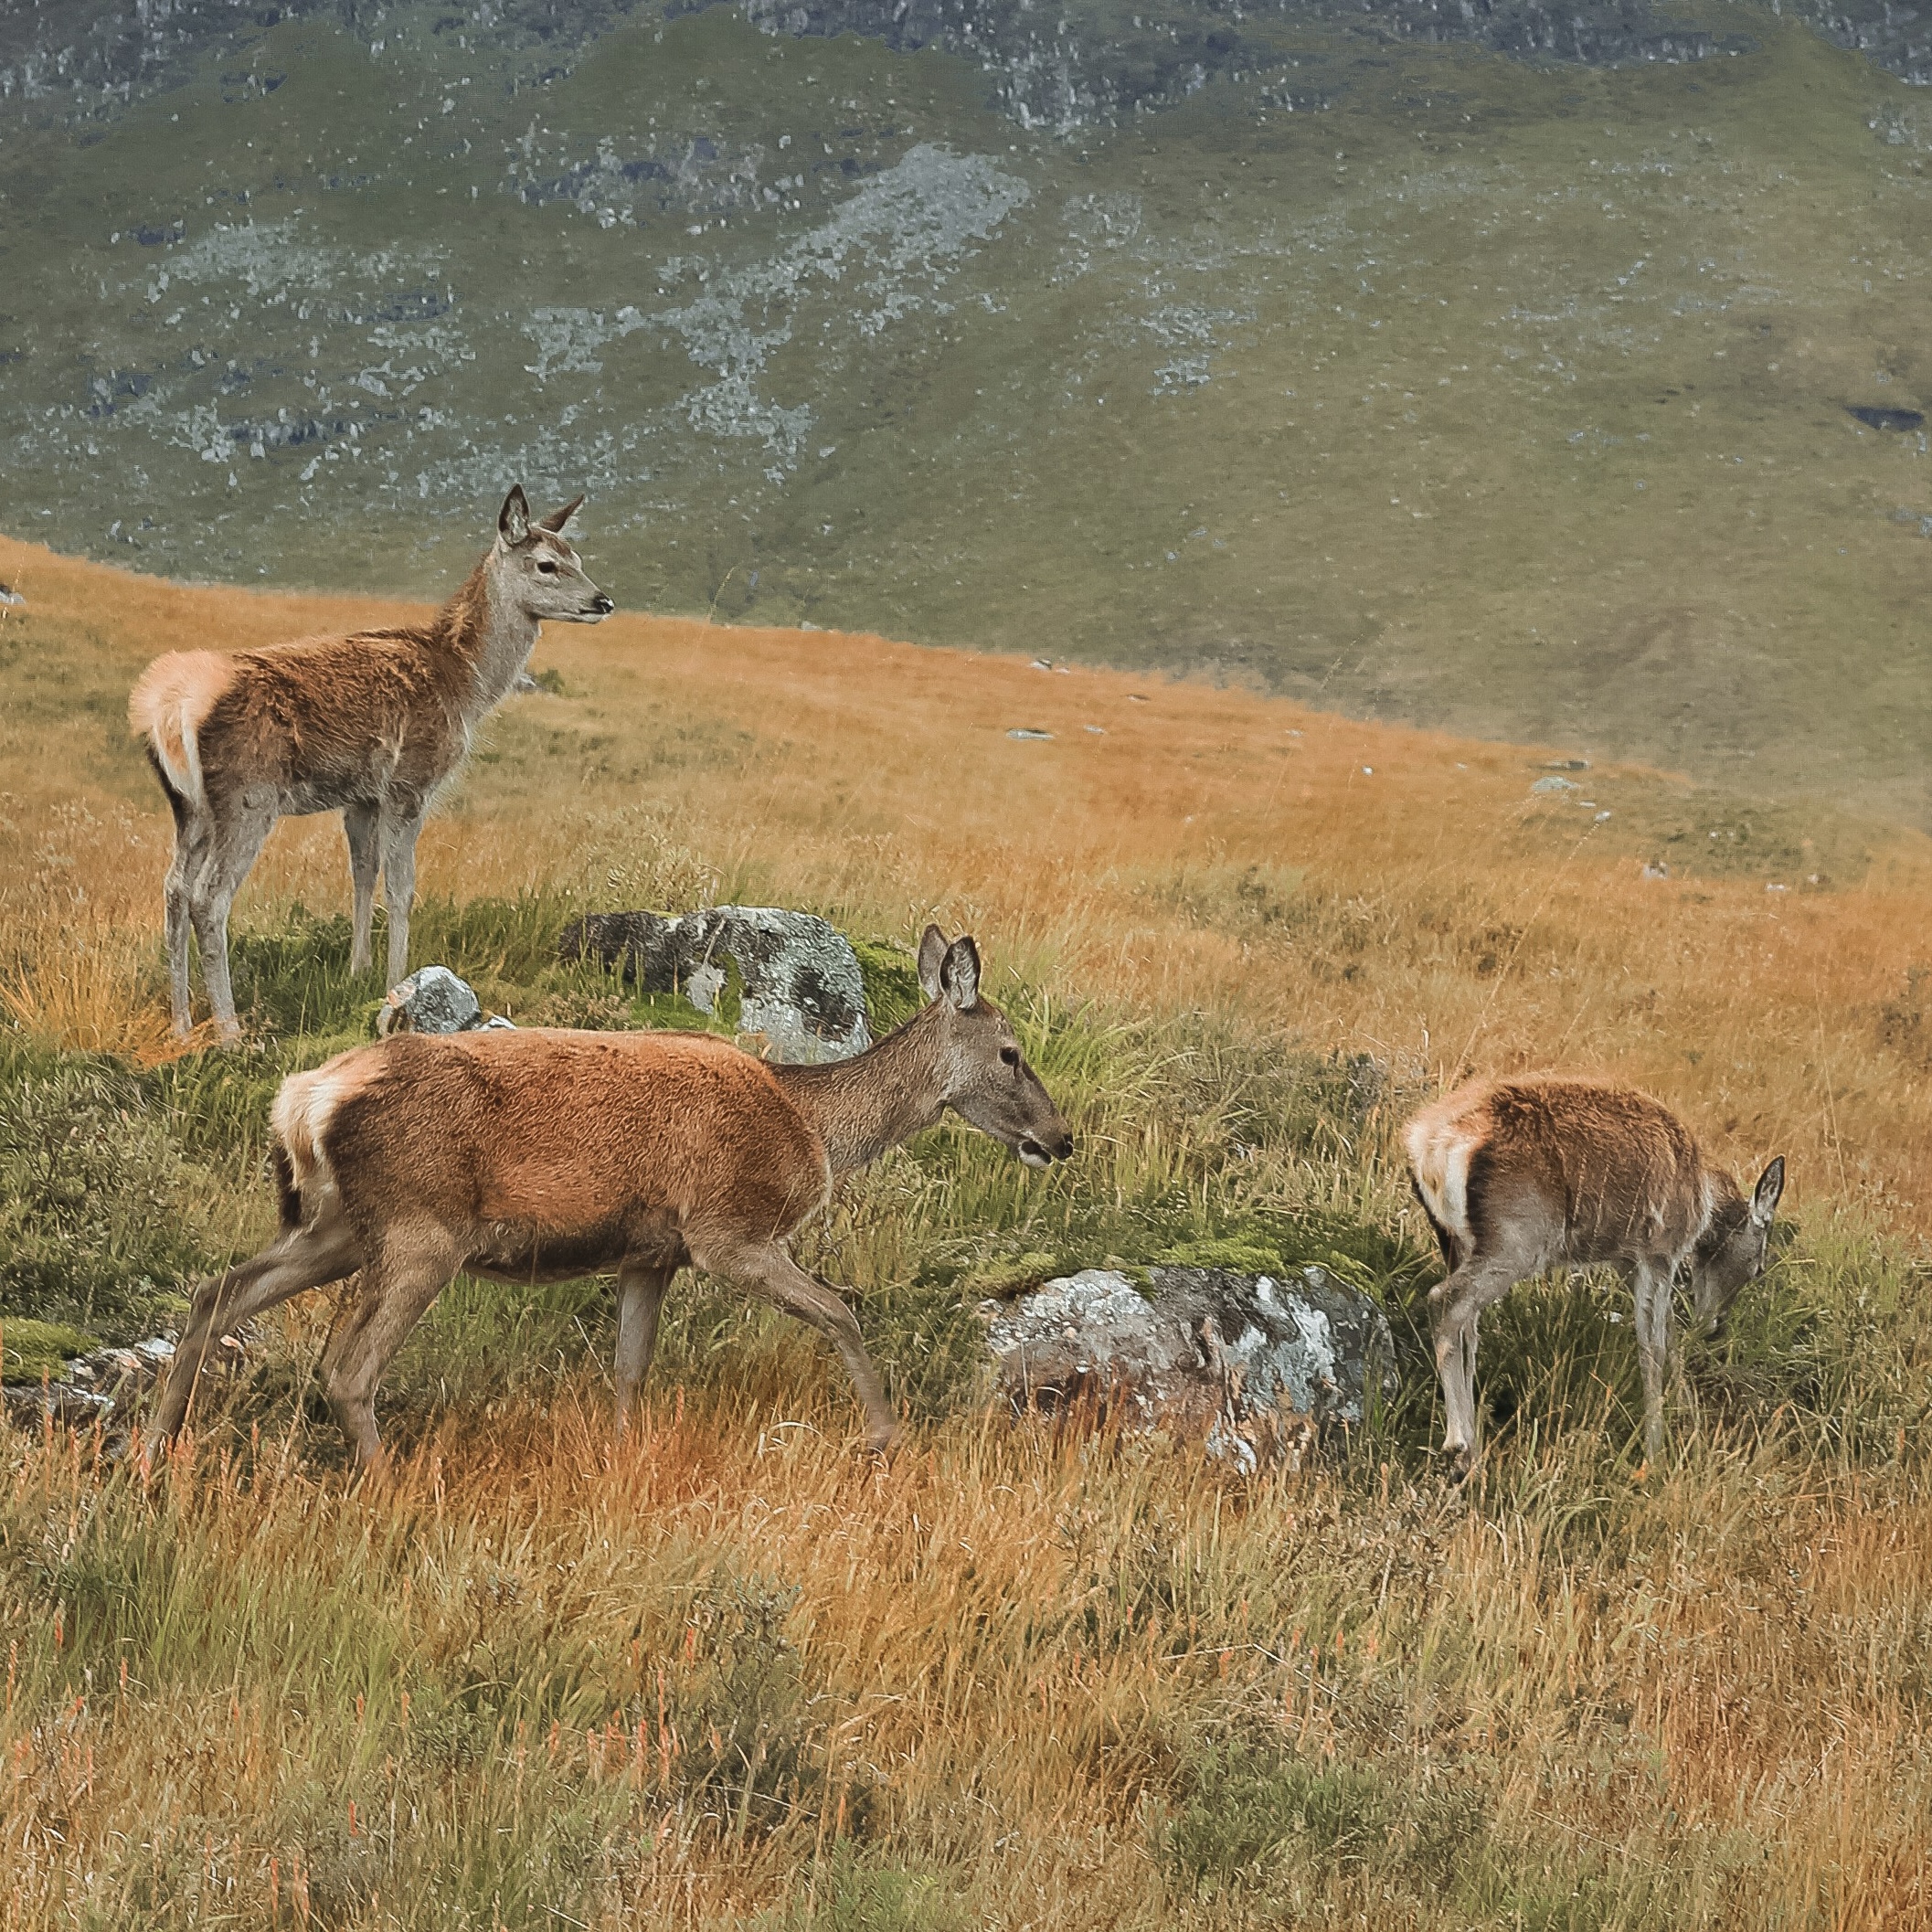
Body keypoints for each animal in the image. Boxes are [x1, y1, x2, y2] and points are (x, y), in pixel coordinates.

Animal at [129, 487, 614, 1041]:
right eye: (546, 564)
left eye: (579, 558)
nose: (603, 601)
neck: (464, 683)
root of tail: (168, 707)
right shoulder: (410, 782)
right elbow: (401, 888)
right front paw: (399, 981)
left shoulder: (360, 796)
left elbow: (362, 874)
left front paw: (357, 970)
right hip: (247, 796)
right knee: (208, 898)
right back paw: (230, 1031)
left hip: (188, 806)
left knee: (173, 890)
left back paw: (182, 1023)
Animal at [152, 927, 1074, 1469]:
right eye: (1010, 1051)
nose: (1061, 1137)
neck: (811, 1125)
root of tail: (305, 1098)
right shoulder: (728, 1229)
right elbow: (840, 1310)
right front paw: (883, 1436)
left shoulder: (650, 1254)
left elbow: (631, 1368)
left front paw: (626, 1455)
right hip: (421, 1225)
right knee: (345, 1368)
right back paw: (384, 1485)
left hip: (340, 1224)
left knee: (215, 1291)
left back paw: (156, 1451)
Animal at [1404, 1076, 1784, 1476]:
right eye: (1759, 1267)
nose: (1716, 1326)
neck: (1703, 1200)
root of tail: (1427, 1146)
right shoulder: (1660, 1252)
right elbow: (1653, 1347)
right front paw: (1656, 1452)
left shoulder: (1626, 1261)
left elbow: (1670, 1337)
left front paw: (1691, 1429)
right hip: (1516, 1244)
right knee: (1443, 1300)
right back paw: (1457, 1445)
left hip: (1457, 1242)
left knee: (1467, 1329)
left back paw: (1473, 1452)